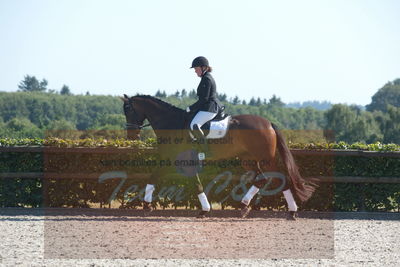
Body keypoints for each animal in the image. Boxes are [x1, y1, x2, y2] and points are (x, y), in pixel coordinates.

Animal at [120, 95, 314, 219]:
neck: (172, 123)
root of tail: (268, 123)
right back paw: (244, 207)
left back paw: (292, 212)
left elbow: (194, 184)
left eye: (128, 110)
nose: (131, 136)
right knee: (261, 179)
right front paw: (147, 206)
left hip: (265, 159)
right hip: (248, 159)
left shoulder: (179, 161)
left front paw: (204, 210)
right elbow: (154, 178)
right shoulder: (172, 161)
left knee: (280, 179)